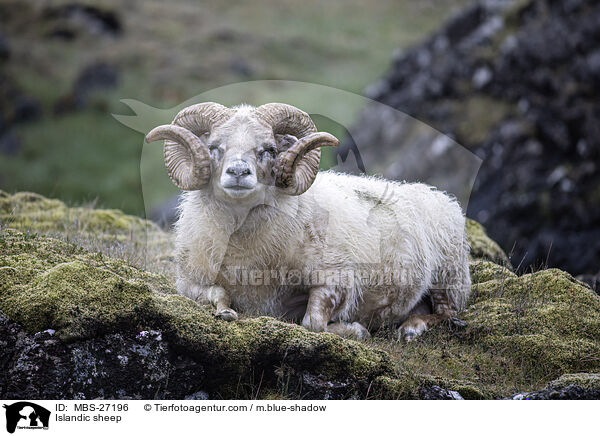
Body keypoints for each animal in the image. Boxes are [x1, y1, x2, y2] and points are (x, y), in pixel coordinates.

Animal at [146, 102, 474, 340]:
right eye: (214, 147)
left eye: (269, 150)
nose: (238, 172)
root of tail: (439, 196)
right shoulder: (188, 282)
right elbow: (216, 293)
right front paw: (225, 311)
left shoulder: (337, 279)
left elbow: (313, 322)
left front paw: (355, 330)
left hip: (448, 277)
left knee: (446, 313)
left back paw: (411, 328)